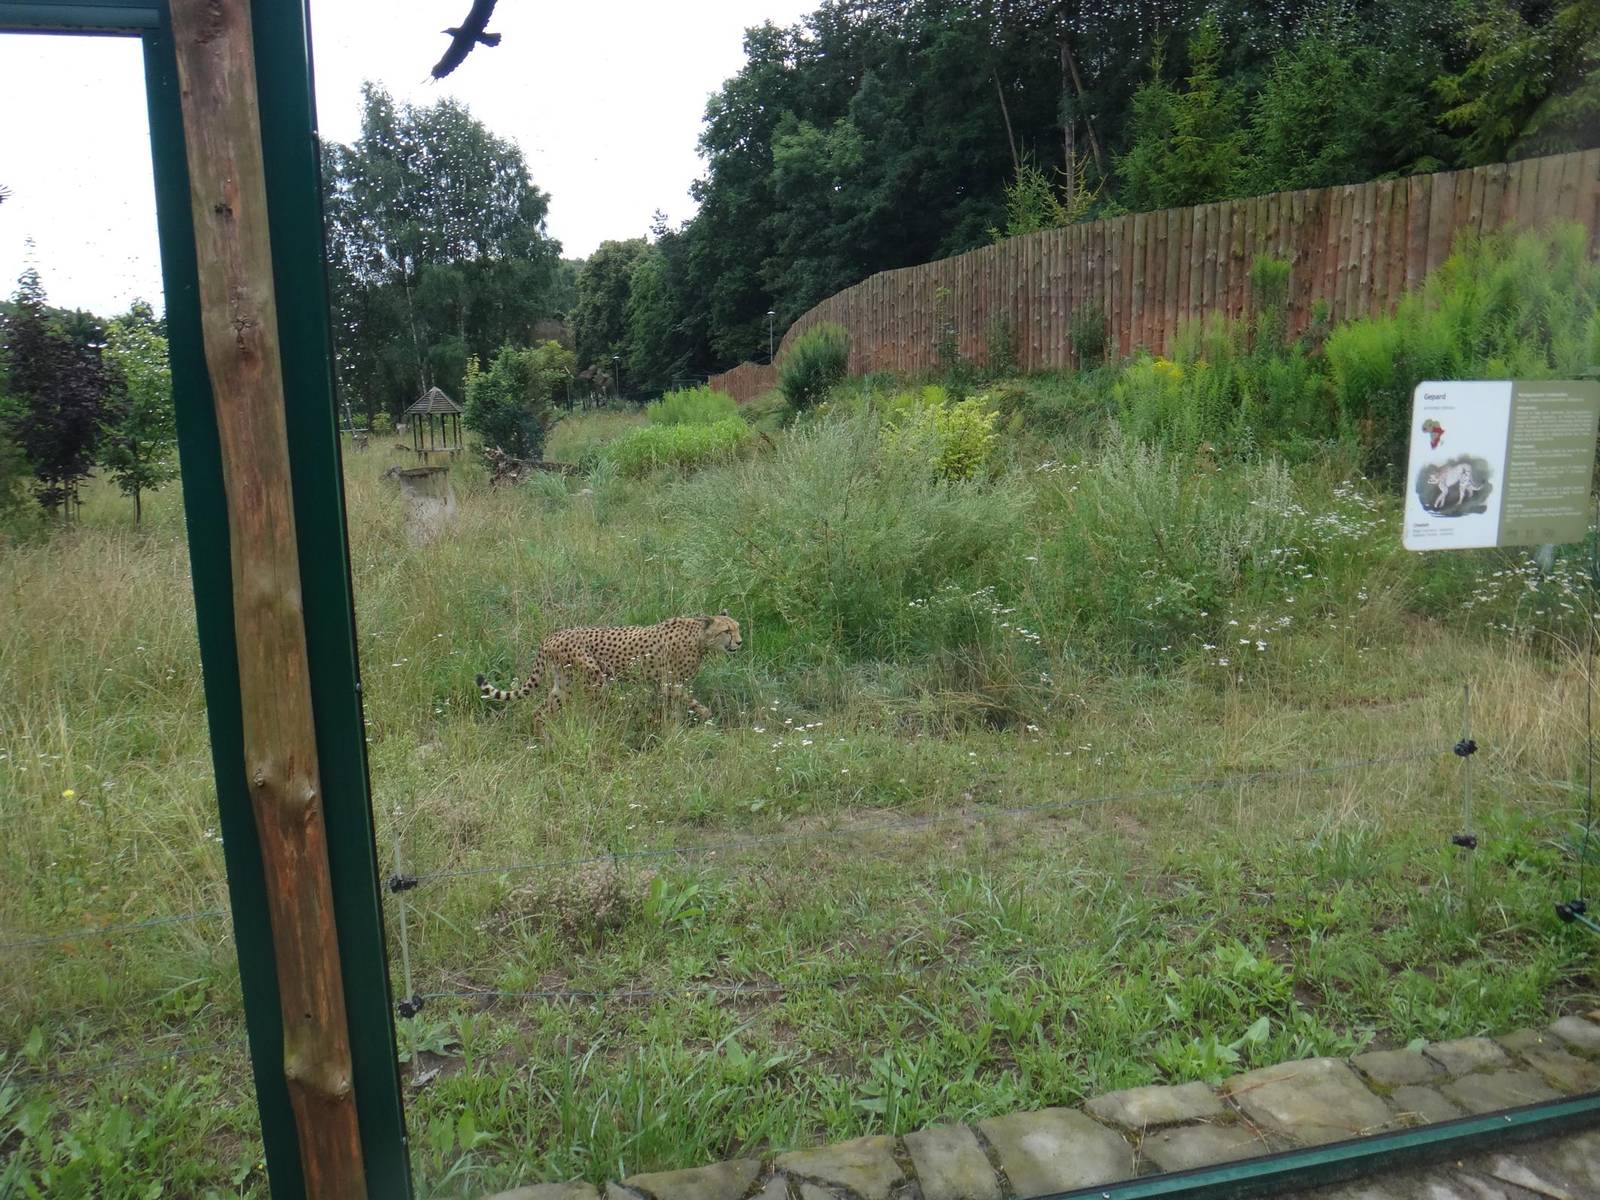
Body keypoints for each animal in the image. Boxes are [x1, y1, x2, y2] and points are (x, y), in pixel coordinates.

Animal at [476, 613, 742, 728]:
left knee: (540, 712)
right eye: (727, 631)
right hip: (594, 679)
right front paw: (707, 717)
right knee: (589, 709)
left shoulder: (662, 686)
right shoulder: (671, 684)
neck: (699, 638)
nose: (739, 642)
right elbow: (692, 704)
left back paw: (546, 742)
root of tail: (552, 636)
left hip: (564, 684)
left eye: (738, 627)